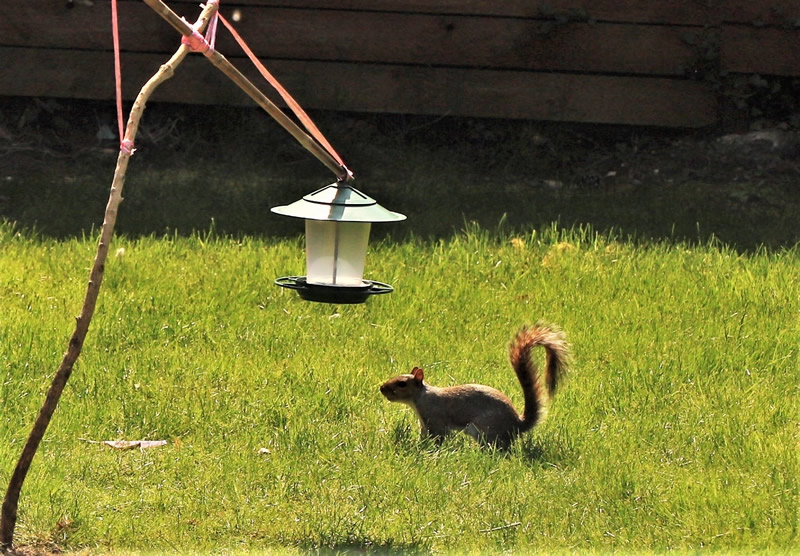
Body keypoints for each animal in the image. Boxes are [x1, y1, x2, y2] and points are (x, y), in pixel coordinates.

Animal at [378, 324, 564, 450]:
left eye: (402, 384)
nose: (382, 388)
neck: (421, 398)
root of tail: (517, 425)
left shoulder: (436, 419)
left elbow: (438, 438)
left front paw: (427, 451)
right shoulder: (424, 424)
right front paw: (419, 446)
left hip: (485, 430)